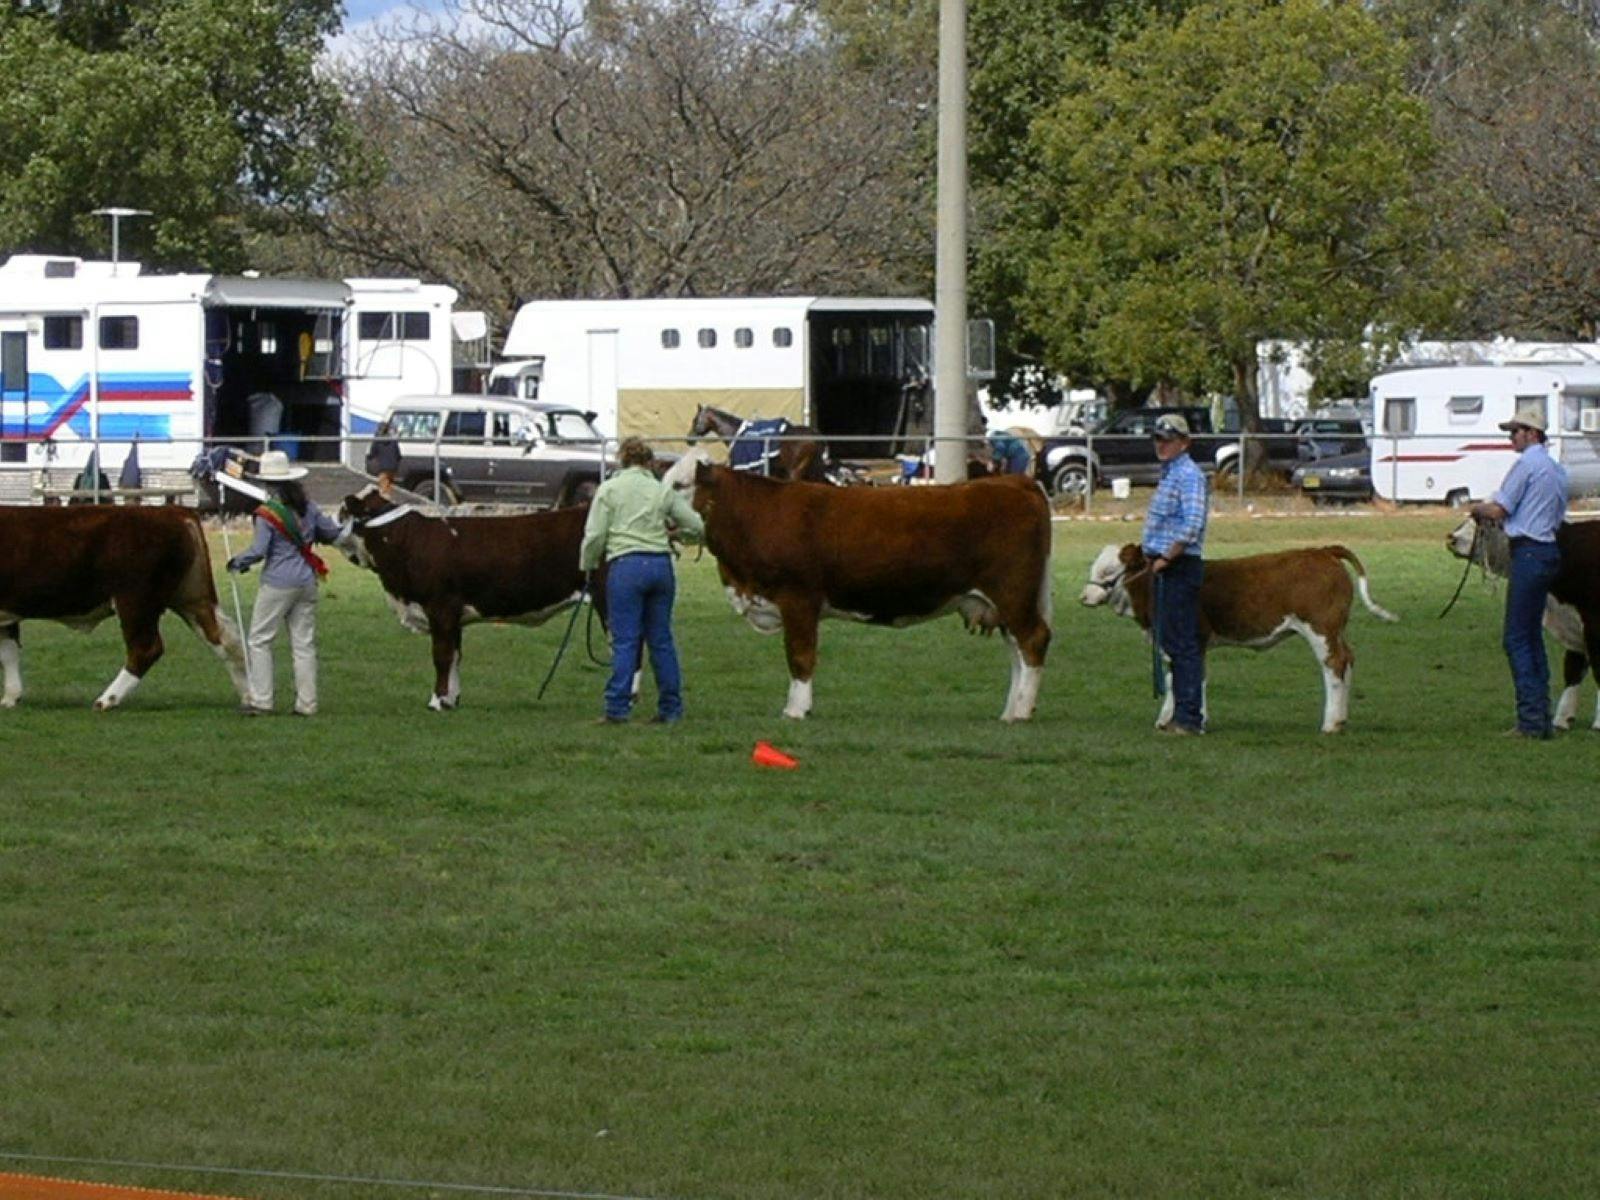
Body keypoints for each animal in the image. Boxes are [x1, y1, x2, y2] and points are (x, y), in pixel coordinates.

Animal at [0, 505, 249, 709]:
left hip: (136, 602)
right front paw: (10, 698)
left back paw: (107, 700)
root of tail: (172, 511)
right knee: (226, 640)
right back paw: (250, 698)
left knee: (146, 648)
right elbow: (9, 653)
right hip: (192, 598)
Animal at [338, 489, 605, 710]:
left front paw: (436, 701)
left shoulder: (440, 608)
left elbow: (441, 656)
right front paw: (450, 700)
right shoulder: (453, 616)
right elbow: (455, 656)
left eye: (342, 513)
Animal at [665, 451, 1053, 721]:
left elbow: (800, 656)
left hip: (1013, 592)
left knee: (1033, 642)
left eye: (678, 486)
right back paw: (1011, 710)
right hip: (1005, 602)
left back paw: (1020, 712)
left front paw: (796, 710)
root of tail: (1014, 482)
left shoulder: (798, 599)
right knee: (1017, 651)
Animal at [1079, 543, 1398, 733]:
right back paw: (1341, 718)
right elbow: (1174, 678)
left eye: (1108, 570)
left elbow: (1191, 676)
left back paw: (1330, 722)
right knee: (1348, 659)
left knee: (1334, 664)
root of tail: (1322, 550)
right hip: (1336, 629)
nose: (1083, 597)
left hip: (1321, 628)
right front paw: (1167, 719)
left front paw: (1193, 721)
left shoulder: (1191, 640)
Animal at [1446, 515, 1600, 730]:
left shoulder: (1594, 625)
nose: (1452, 538)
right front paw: (1562, 719)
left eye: (1490, 523)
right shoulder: (1573, 625)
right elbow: (1573, 669)